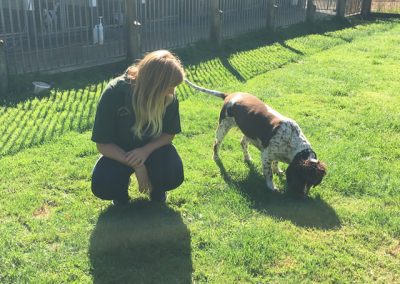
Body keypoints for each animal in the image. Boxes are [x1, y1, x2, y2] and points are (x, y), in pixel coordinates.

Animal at [186, 79, 326, 196]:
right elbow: (269, 174)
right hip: (223, 127)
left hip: (249, 132)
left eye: (312, 182)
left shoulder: (276, 153)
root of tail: (230, 95)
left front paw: (278, 170)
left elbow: (276, 163)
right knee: (216, 144)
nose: (303, 195)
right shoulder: (266, 156)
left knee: (242, 142)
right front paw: (272, 187)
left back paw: (247, 158)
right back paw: (216, 157)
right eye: (303, 178)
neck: (292, 141)